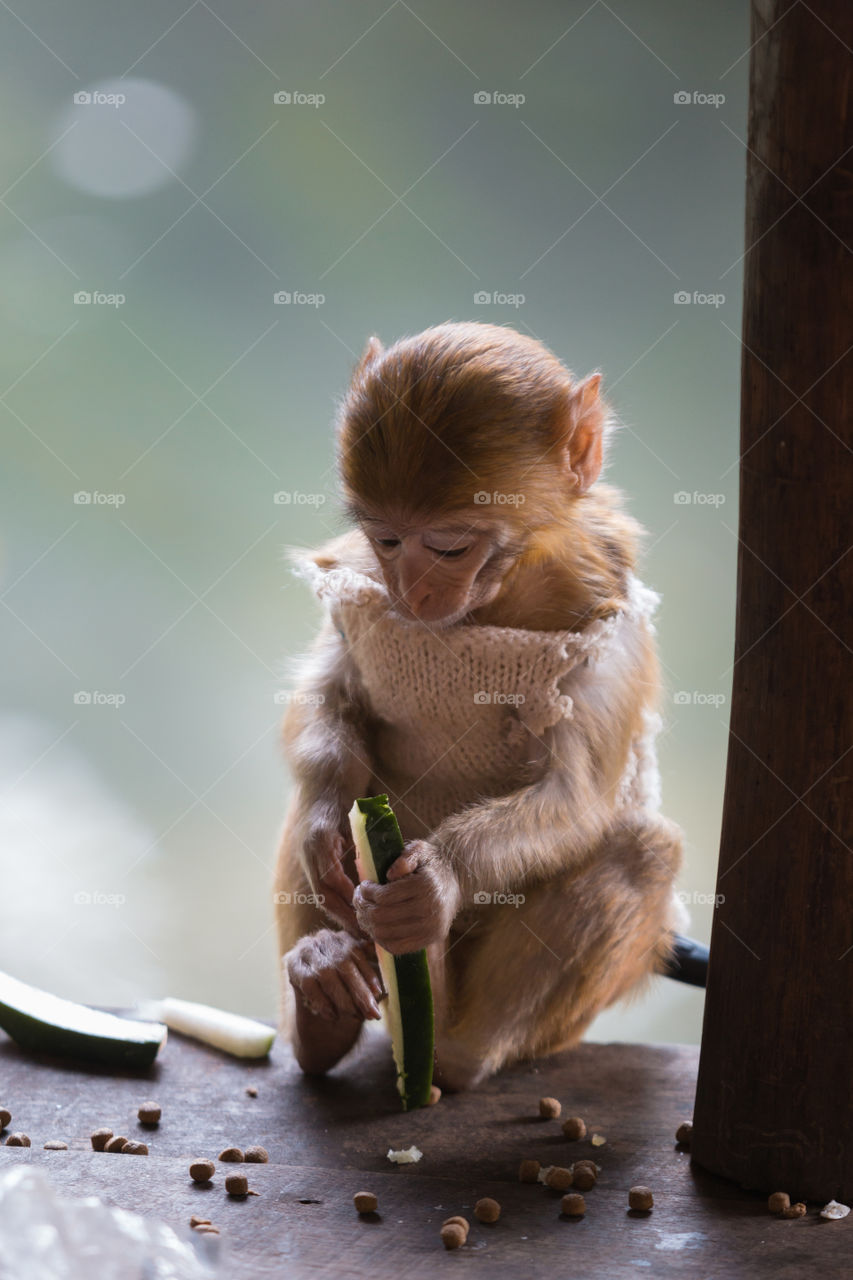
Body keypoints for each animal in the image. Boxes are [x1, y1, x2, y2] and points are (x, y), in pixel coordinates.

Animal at [272, 320, 686, 1090]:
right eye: (387, 538)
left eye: (448, 546)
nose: (412, 592)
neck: (498, 595)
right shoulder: (361, 590)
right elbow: (330, 690)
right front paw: (324, 816)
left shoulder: (608, 636)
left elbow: (577, 798)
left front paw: (438, 882)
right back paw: (322, 998)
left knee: (640, 848)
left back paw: (456, 1048)